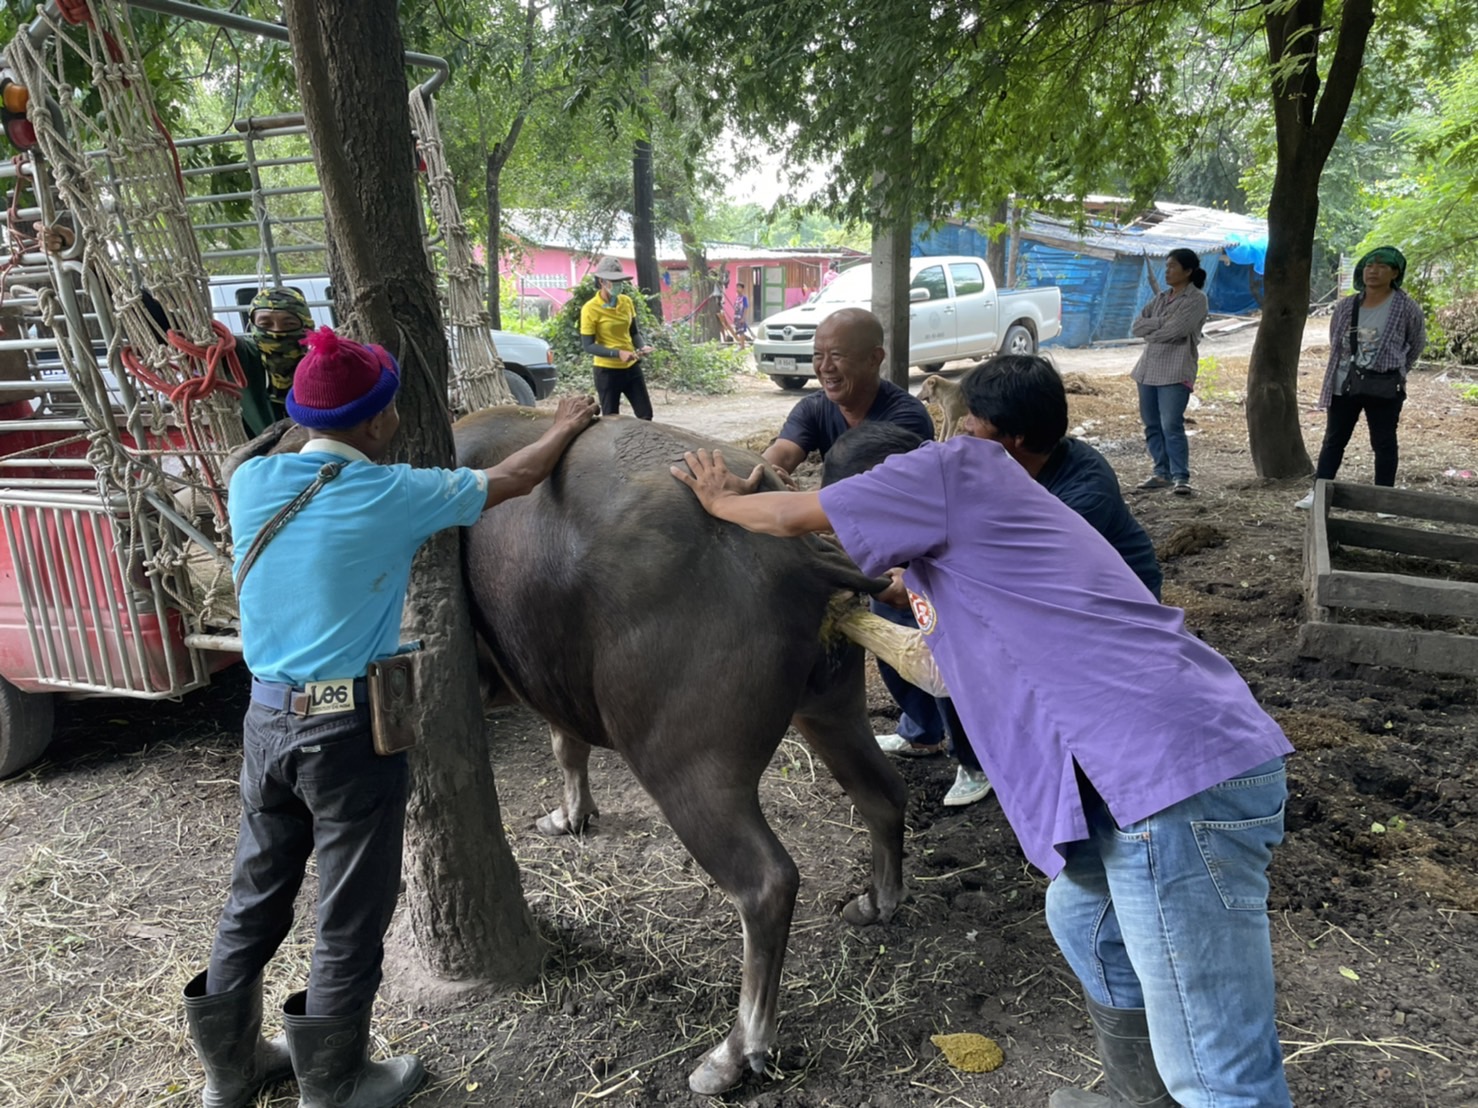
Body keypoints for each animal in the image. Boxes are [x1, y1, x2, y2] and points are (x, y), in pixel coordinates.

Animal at [455, 407, 904, 1093]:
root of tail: (799, 554)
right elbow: (566, 746)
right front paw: (571, 816)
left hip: (687, 766)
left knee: (767, 883)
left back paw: (734, 1053)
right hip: (833, 707)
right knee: (883, 795)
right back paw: (877, 901)